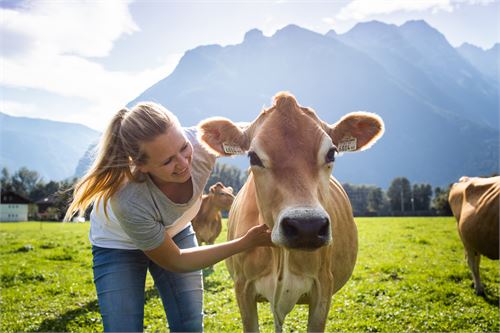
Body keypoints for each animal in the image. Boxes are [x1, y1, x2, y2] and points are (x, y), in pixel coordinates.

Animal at [197, 92, 384, 330]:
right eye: (253, 157)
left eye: (331, 153)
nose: (307, 227)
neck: (280, 254)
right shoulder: (242, 288)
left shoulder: (323, 288)